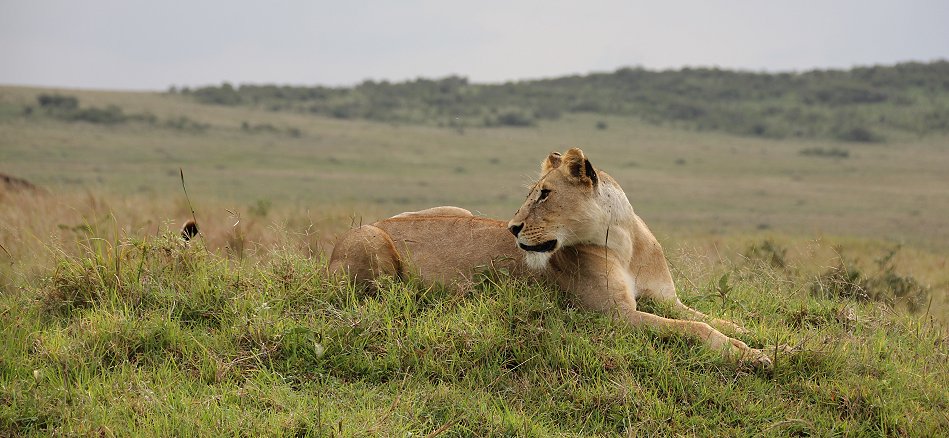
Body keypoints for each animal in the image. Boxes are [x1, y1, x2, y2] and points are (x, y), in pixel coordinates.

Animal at [330, 147, 772, 366]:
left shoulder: (666, 299)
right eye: (531, 193)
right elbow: (695, 329)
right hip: (371, 240)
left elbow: (715, 320)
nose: (511, 227)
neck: (624, 244)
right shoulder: (615, 317)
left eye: (544, 194)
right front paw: (753, 356)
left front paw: (765, 340)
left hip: (458, 210)